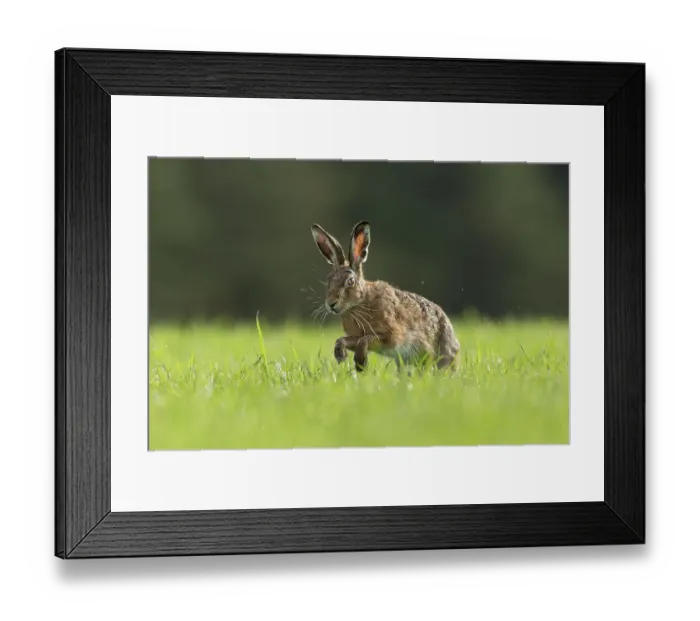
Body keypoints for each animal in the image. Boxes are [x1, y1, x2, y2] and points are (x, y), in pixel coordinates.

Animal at [311, 221, 460, 372]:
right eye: (329, 280)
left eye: (350, 281)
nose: (331, 303)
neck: (360, 303)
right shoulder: (356, 336)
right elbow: (343, 340)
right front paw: (341, 355)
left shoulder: (390, 336)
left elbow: (365, 339)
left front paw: (360, 363)